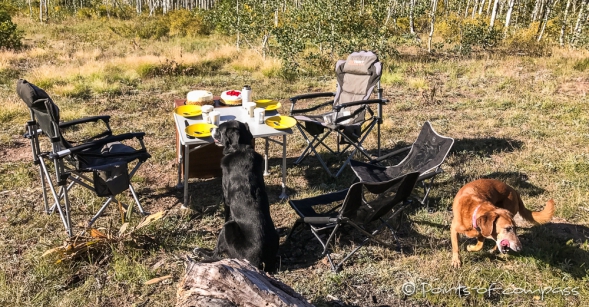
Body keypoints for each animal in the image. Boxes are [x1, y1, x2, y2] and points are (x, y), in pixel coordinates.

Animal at [194, 121, 280, 274]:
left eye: (220, 130)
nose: (210, 128)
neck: (241, 149)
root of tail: (258, 263)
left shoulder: (226, 199)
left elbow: (226, 216)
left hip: (228, 228)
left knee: (216, 254)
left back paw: (200, 251)